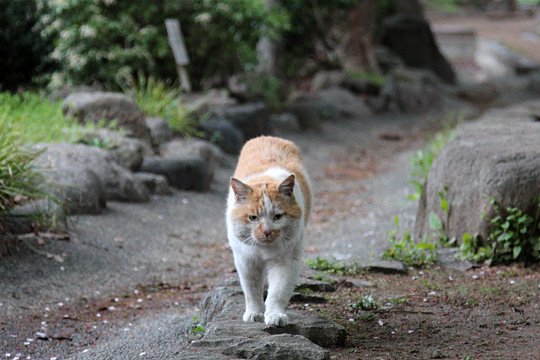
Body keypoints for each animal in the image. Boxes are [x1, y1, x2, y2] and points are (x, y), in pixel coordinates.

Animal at [225, 135, 310, 326]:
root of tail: (269, 137)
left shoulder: (286, 262)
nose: (267, 232)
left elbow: (278, 292)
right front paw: (254, 313)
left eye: (277, 217)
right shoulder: (246, 261)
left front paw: (274, 316)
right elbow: (251, 290)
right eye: (253, 218)